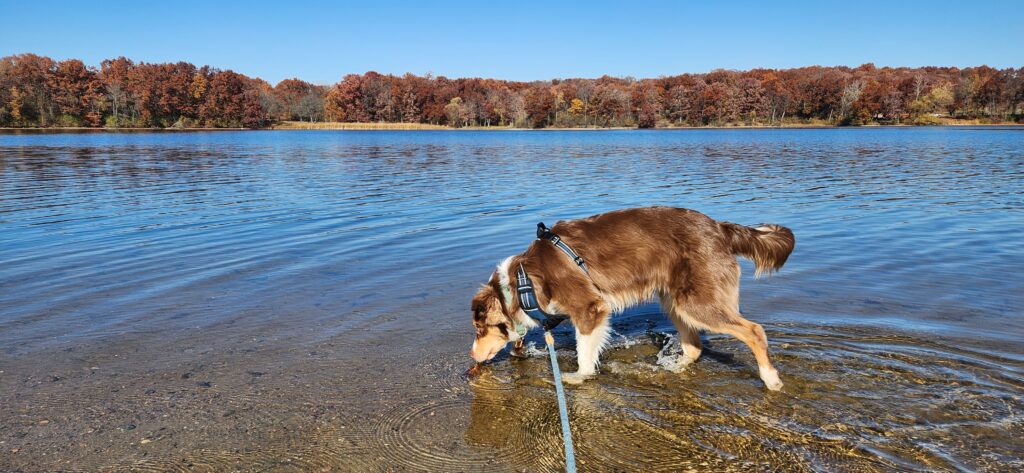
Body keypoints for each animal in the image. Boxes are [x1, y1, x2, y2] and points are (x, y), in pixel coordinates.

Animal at [468, 205, 794, 387]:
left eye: (479, 329)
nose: (471, 355)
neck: (521, 282)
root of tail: (720, 227)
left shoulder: (590, 308)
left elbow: (585, 352)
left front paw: (579, 377)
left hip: (697, 302)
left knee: (754, 331)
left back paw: (771, 379)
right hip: (675, 301)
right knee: (695, 346)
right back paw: (675, 366)